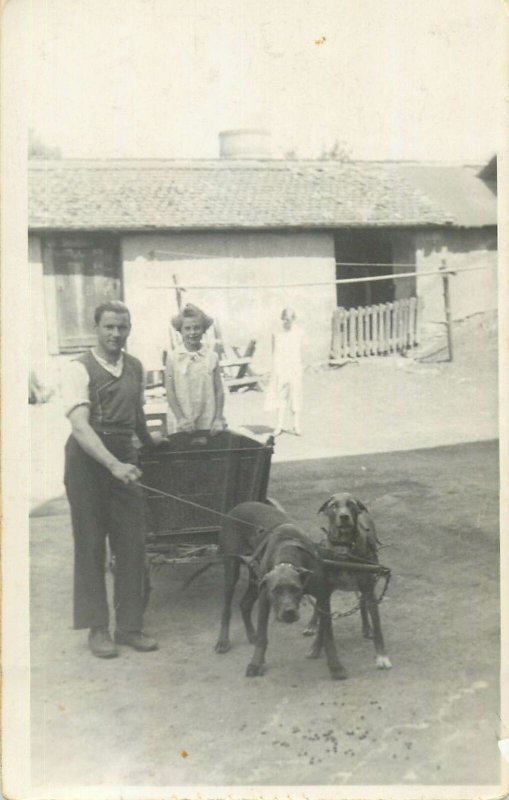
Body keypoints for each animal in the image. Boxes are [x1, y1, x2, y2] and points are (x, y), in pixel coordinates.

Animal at [304, 494, 390, 668]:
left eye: (351, 504)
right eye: (333, 506)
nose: (344, 517)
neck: (343, 546)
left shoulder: (369, 589)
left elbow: (377, 626)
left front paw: (382, 656)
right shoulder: (325, 591)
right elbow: (323, 625)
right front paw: (316, 648)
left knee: (362, 603)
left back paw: (366, 627)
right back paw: (312, 625)